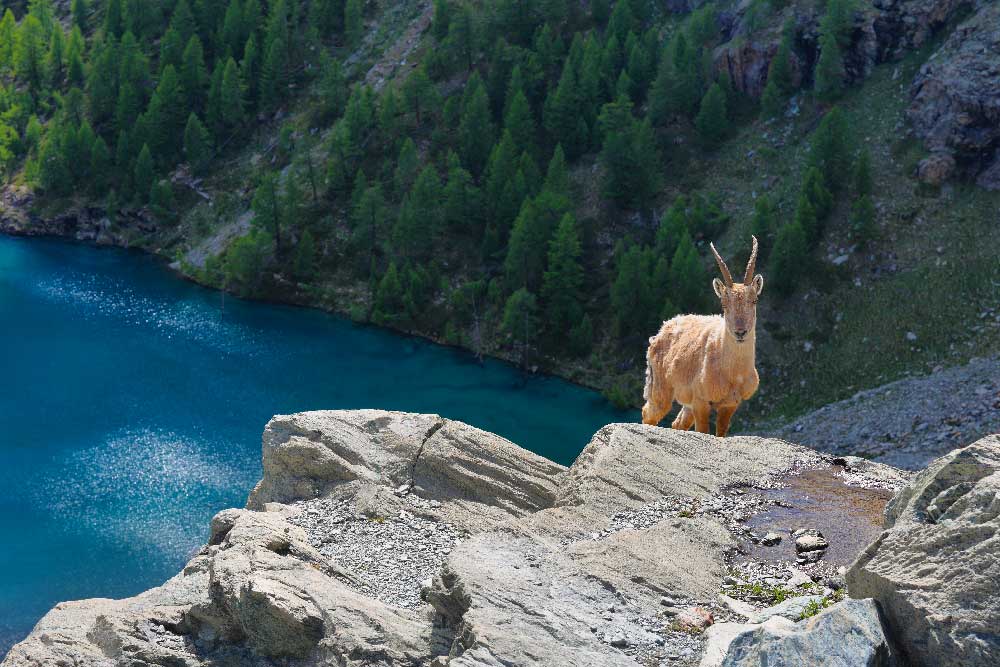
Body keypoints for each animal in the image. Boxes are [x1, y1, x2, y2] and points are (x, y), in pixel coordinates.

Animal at [640, 237, 764, 436]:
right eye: (724, 304)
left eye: (754, 300)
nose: (740, 332)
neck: (732, 373)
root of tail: (661, 331)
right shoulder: (701, 402)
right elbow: (703, 431)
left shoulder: (730, 404)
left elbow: (720, 433)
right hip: (660, 386)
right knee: (649, 413)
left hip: (686, 402)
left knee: (677, 423)